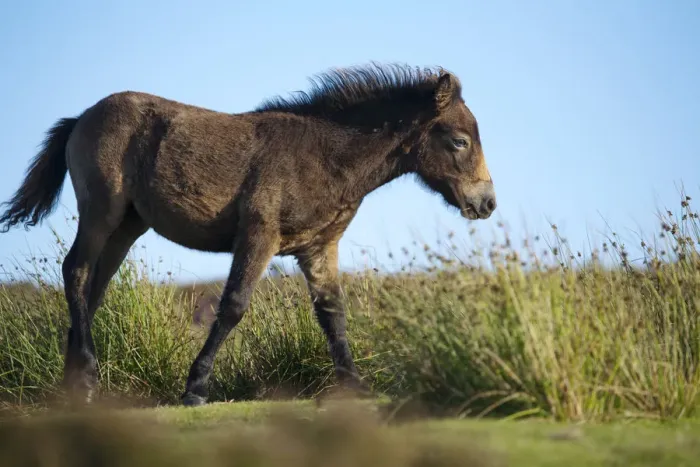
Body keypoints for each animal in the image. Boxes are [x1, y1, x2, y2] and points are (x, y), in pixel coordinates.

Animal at [0, 62, 496, 406]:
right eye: (458, 141)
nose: (487, 203)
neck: (324, 156)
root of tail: (82, 116)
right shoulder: (259, 236)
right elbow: (234, 306)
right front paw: (196, 388)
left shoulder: (319, 248)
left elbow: (333, 314)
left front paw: (356, 386)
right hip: (101, 212)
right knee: (76, 271)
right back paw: (85, 377)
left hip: (127, 226)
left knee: (93, 288)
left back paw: (73, 385)